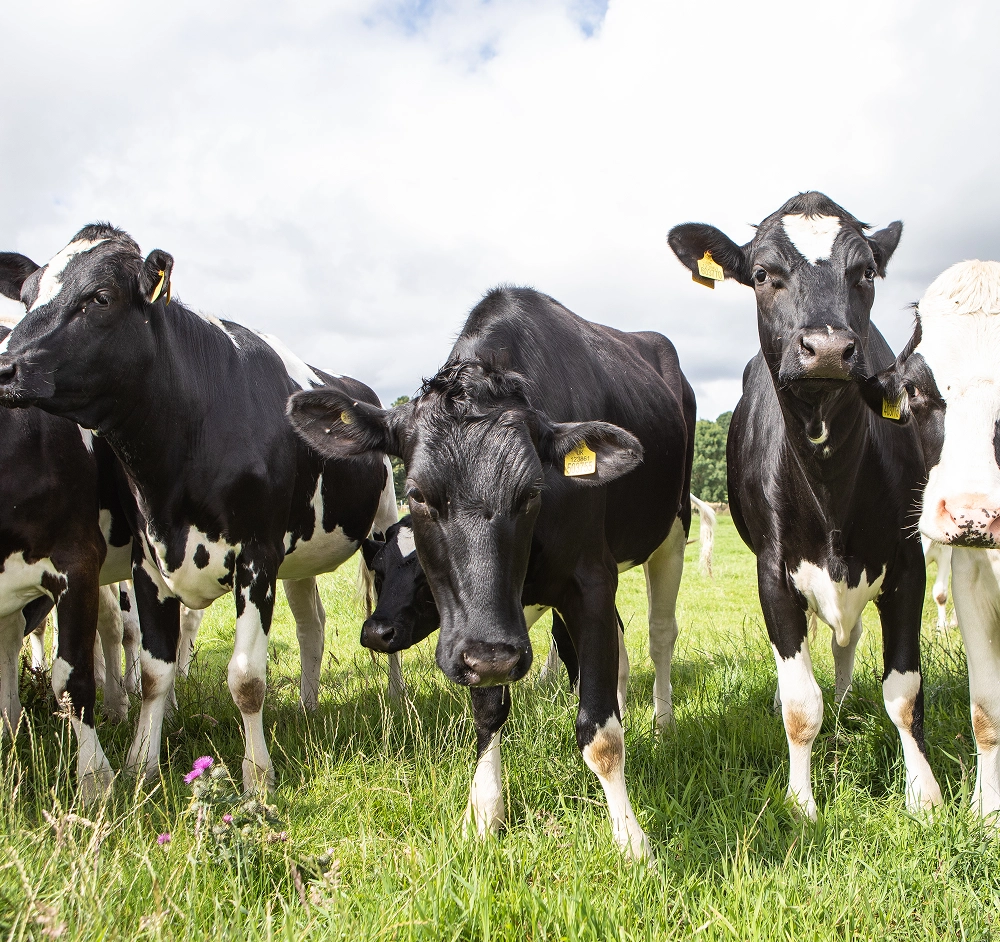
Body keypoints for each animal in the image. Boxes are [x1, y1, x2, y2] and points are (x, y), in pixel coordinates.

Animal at [0, 225, 398, 794]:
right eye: (28, 296)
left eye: (99, 298)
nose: (4, 366)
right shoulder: (149, 561)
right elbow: (153, 671)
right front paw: (140, 767)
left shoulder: (255, 557)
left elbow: (247, 678)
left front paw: (258, 776)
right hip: (301, 552)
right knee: (312, 624)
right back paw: (307, 707)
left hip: (382, 528)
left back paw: (396, 701)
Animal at [289, 286, 695, 860]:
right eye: (417, 494)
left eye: (531, 492)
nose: (495, 657)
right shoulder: (479, 629)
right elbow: (488, 711)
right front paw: (484, 815)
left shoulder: (589, 579)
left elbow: (600, 733)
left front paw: (630, 838)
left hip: (672, 527)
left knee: (660, 634)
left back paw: (662, 724)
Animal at [668, 192, 943, 820]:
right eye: (762, 274)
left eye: (865, 271)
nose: (828, 349)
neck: (831, 481)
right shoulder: (773, 571)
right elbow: (799, 702)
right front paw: (801, 803)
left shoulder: (907, 559)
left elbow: (903, 691)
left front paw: (924, 793)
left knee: (848, 641)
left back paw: (843, 702)